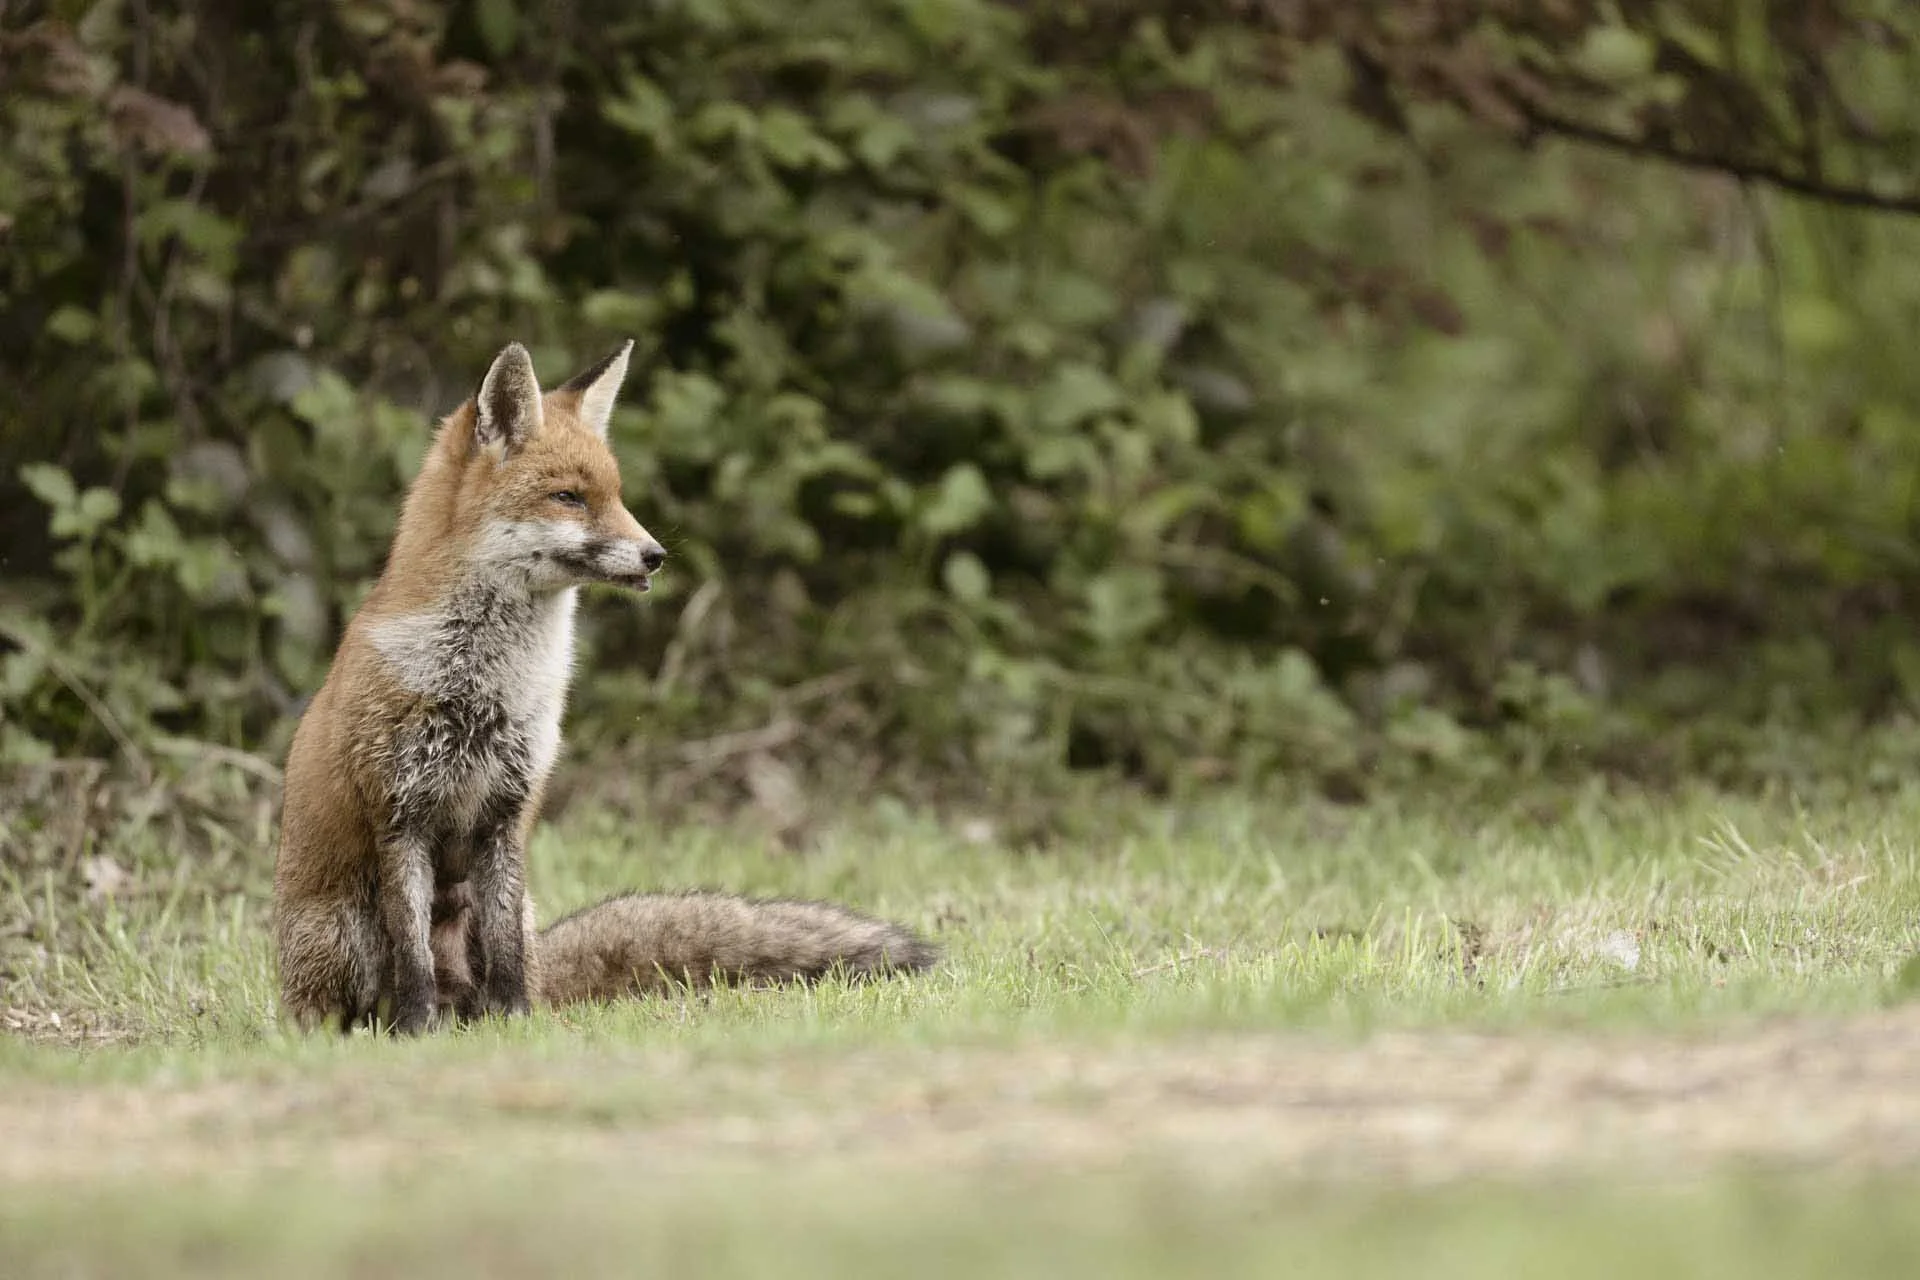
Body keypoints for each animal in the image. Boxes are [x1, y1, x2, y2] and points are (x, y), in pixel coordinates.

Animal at [273, 339, 937, 1034]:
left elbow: (505, 955)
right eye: (568, 497)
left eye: (618, 496)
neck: (486, 683)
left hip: (508, 916)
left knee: (509, 967)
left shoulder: (507, 813)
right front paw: (418, 1031)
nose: (656, 556)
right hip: (344, 932)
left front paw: (516, 1024)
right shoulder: (402, 815)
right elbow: (413, 957)